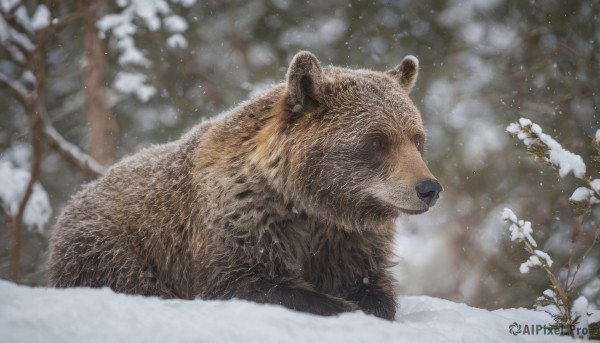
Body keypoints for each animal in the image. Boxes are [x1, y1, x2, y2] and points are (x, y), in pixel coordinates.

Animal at [48, 51, 440, 322]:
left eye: (416, 138)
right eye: (377, 142)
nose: (429, 188)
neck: (309, 203)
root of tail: (77, 197)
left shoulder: (348, 238)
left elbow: (370, 282)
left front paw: (367, 304)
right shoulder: (240, 226)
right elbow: (248, 283)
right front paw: (339, 306)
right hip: (111, 247)